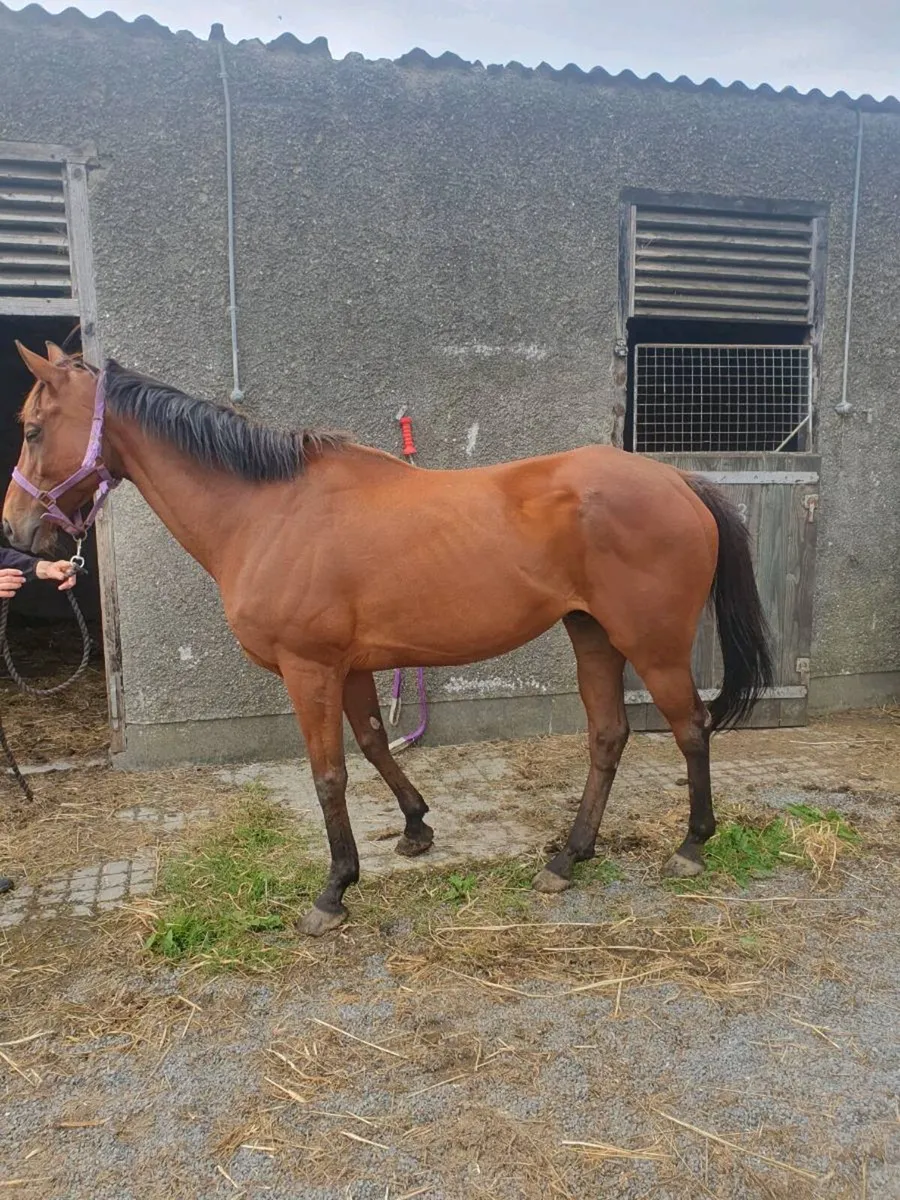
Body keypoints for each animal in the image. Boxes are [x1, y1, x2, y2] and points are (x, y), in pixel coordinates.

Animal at [2, 343, 772, 936]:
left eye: (33, 428)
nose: (16, 531)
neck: (268, 512)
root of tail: (679, 479)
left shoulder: (308, 668)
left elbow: (328, 773)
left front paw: (334, 890)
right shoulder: (350, 668)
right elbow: (374, 743)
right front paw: (415, 828)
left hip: (652, 643)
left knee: (690, 727)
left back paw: (691, 846)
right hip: (594, 636)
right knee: (609, 736)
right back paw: (568, 858)